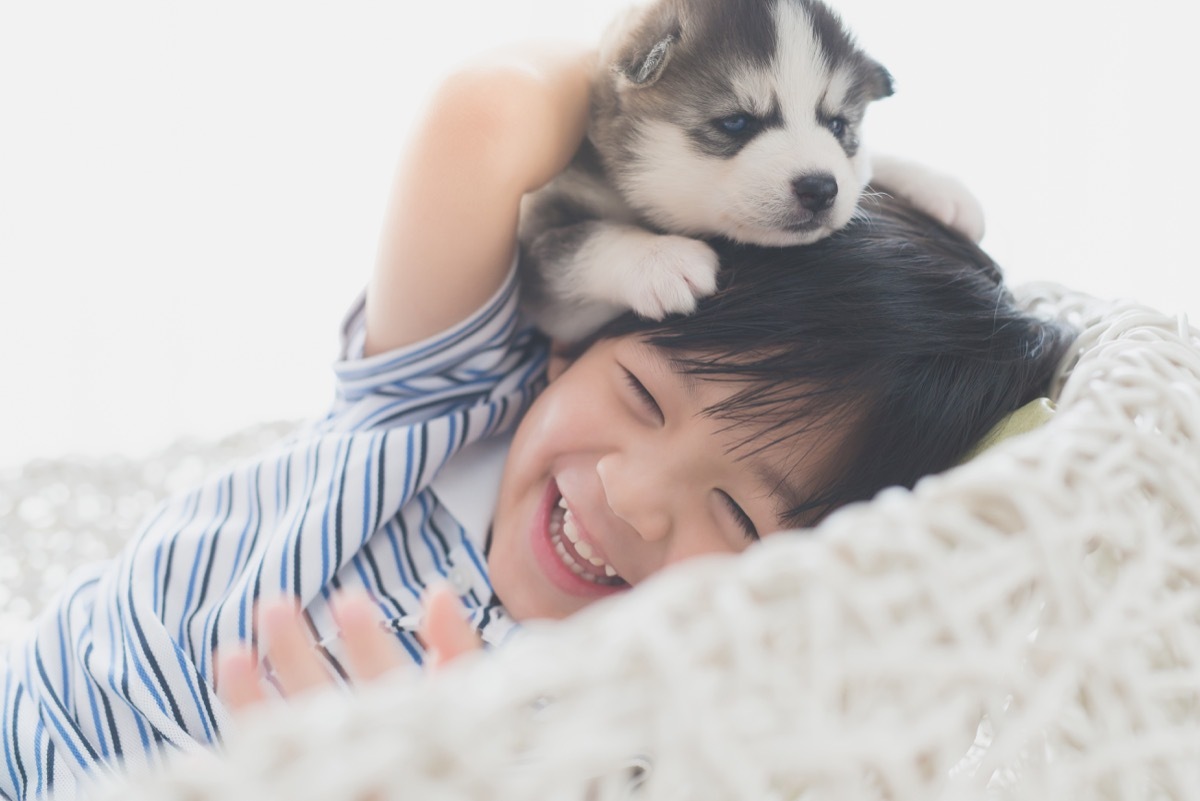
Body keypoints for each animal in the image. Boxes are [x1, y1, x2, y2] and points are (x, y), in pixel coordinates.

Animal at [520, 0, 897, 340]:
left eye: (837, 125)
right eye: (736, 122)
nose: (819, 188)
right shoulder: (539, 264)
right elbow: (581, 242)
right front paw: (659, 257)